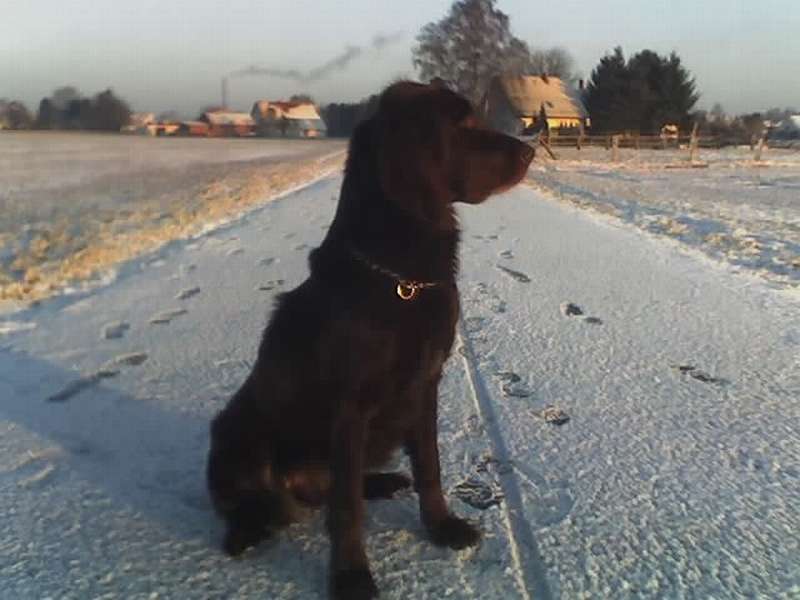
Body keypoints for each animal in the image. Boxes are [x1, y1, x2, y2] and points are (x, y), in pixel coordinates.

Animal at [207, 80, 535, 599]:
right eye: (460, 124)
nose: (530, 150)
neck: (400, 277)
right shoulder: (351, 406)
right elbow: (346, 511)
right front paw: (351, 576)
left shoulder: (425, 384)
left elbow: (430, 469)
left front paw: (441, 527)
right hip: (237, 430)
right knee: (264, 499)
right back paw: (249, 528)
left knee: (341, 484)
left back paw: (381, 483)